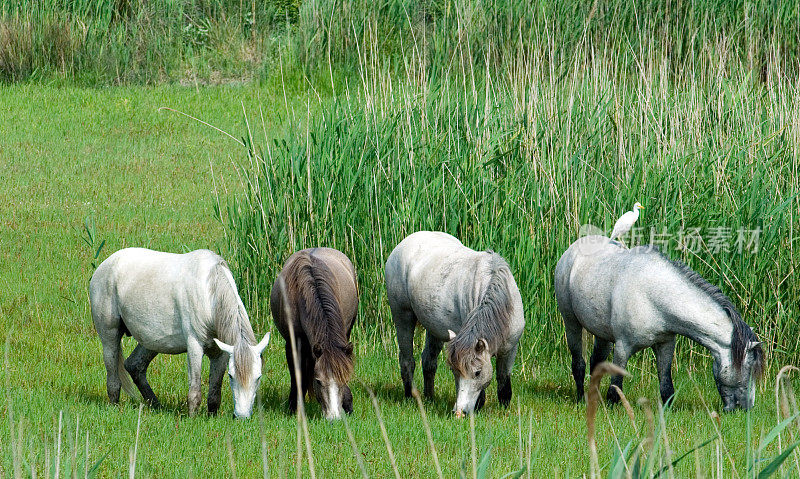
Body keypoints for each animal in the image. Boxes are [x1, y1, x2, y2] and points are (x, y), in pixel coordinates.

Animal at [87, 249, 268, 418]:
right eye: (231, 376)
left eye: (258, 377)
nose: (242, 417)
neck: (209, 292)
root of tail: (104, 266)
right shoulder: (195, 346)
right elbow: (195, 391)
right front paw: (193, 418)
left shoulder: (220, 354)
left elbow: (215, 393)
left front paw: (212, 416)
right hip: (110, 337)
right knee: (113, 377)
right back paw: (115, 406)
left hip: (152, 342)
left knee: (134, 365)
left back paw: (156, 405)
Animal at [270, 248, 358, 420]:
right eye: (318, 381)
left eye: (344, 379)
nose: (334, 418)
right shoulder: (292, 344)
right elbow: (297, 376)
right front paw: (294, 408)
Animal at [386, 232, 528, 416]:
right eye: (454, 371)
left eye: (477, 372)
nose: (459, 412)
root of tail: (403, 244)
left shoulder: (510, 349)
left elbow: (504, 381)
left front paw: (503, 408)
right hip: (403, 318)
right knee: (407, 360)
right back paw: (410, 397)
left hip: (435, 330)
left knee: (428, 361)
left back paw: (430, 398)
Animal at [556, 234, 764, 410]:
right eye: (749, 369)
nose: (745, 408)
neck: (652, 297)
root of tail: (572, 250)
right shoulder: (623, 347)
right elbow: (616, 385)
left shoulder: (665, 344)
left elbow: (666, 386)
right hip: (571, 323)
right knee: (579, 364)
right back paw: (581, 399)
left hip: (602, 334)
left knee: (596, 362)